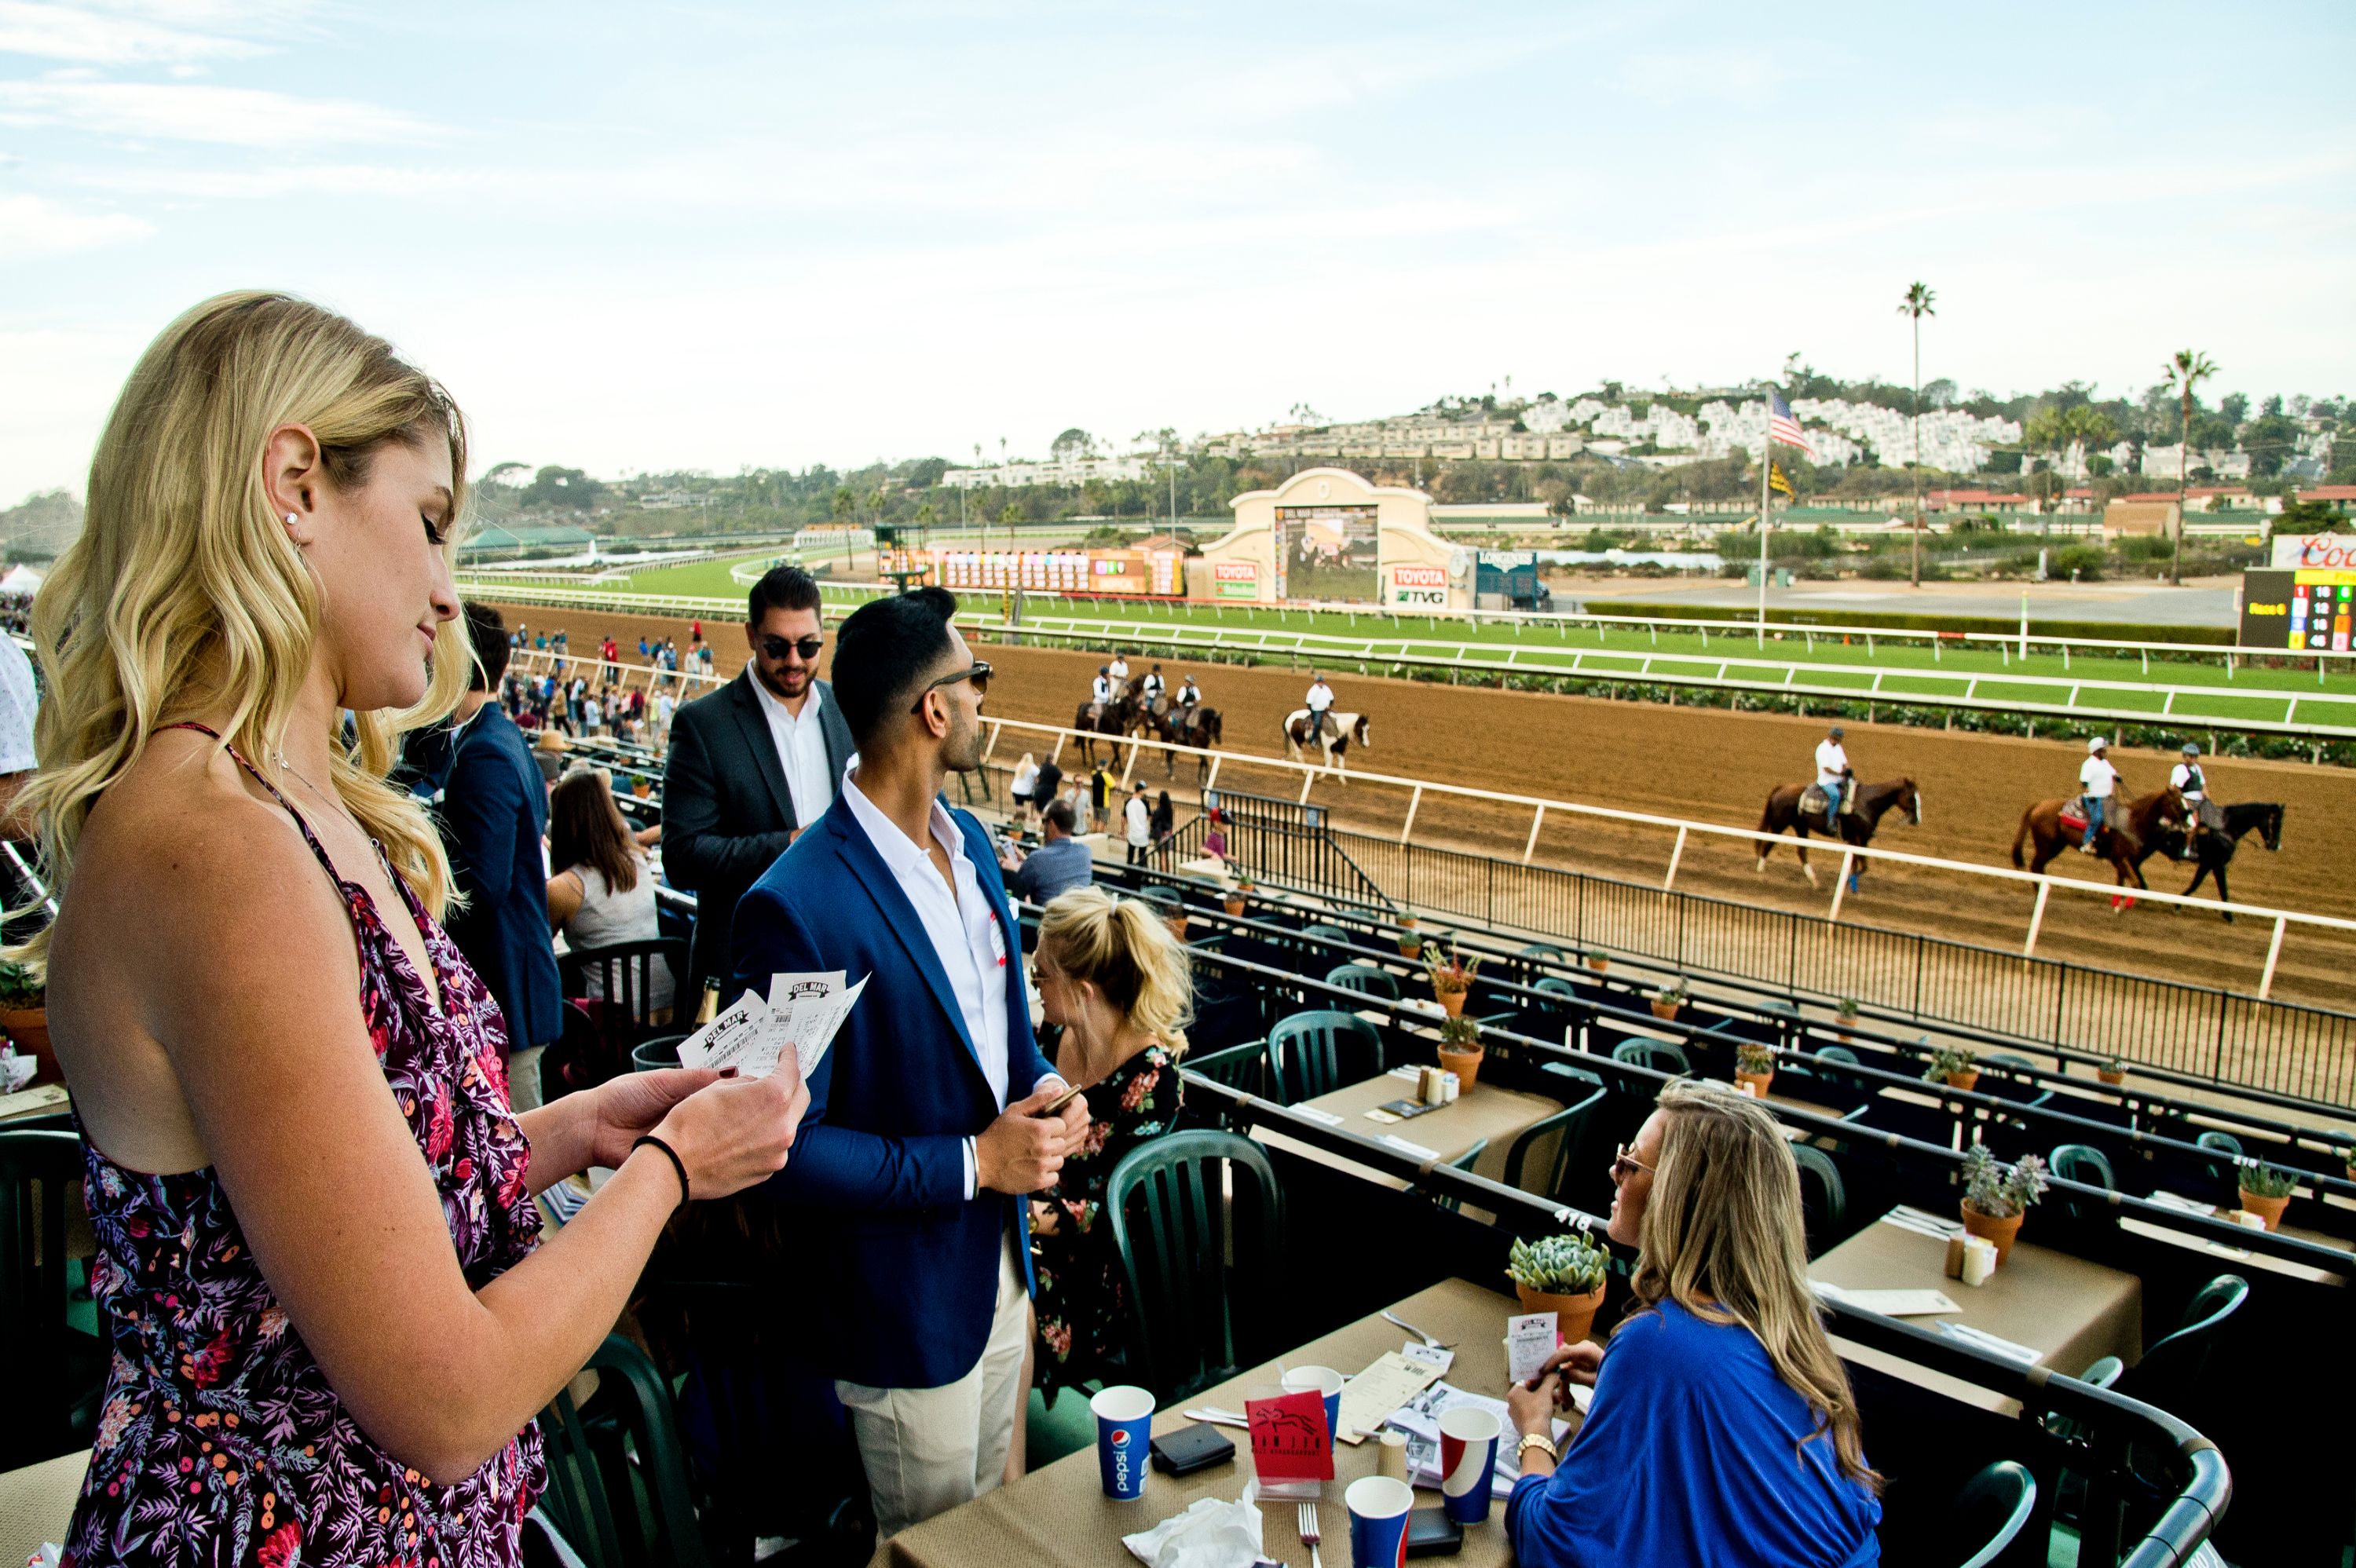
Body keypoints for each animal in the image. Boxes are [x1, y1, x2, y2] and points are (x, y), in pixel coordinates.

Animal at [1753, 777, 1913, 885]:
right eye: (1911, 797)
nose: (1914, 819)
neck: (1865, 803)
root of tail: (1781, 788)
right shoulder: (1856, 838)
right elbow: (1860, 864)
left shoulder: (1860, 841)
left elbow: (1858, 864)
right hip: (1779, 825)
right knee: (1768, 844)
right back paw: (1760, 871)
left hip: (1801, 826)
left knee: (1801, 851)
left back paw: (1814, 881)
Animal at [2007, 781, 2186, 904]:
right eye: (2177, 803)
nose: (2186, 824)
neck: (2131, 821)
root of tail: (2039, 805)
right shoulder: (2120, 858)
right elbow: (2135, 883)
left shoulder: (2125, 862)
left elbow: (2124, 883)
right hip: (2047, 846)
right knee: (2036, 866)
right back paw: (2041, 892)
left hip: (2055, 846)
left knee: (2038, 867)